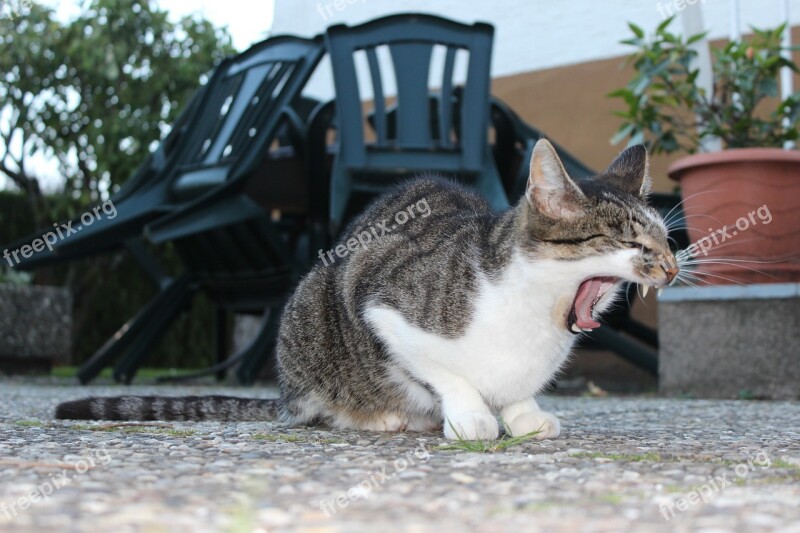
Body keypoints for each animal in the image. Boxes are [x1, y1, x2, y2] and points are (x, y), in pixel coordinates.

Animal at [56, 138, 680, 440]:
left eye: (666, 240)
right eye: (630, 241)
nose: (673, 269)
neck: (534, 315)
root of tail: (284, 395)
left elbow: (517, 392)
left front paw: (523, 416)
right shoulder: (378, 300)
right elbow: (447, 373)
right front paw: (472, 416)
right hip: (311, 311)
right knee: (317, 409)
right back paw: (377, 417)